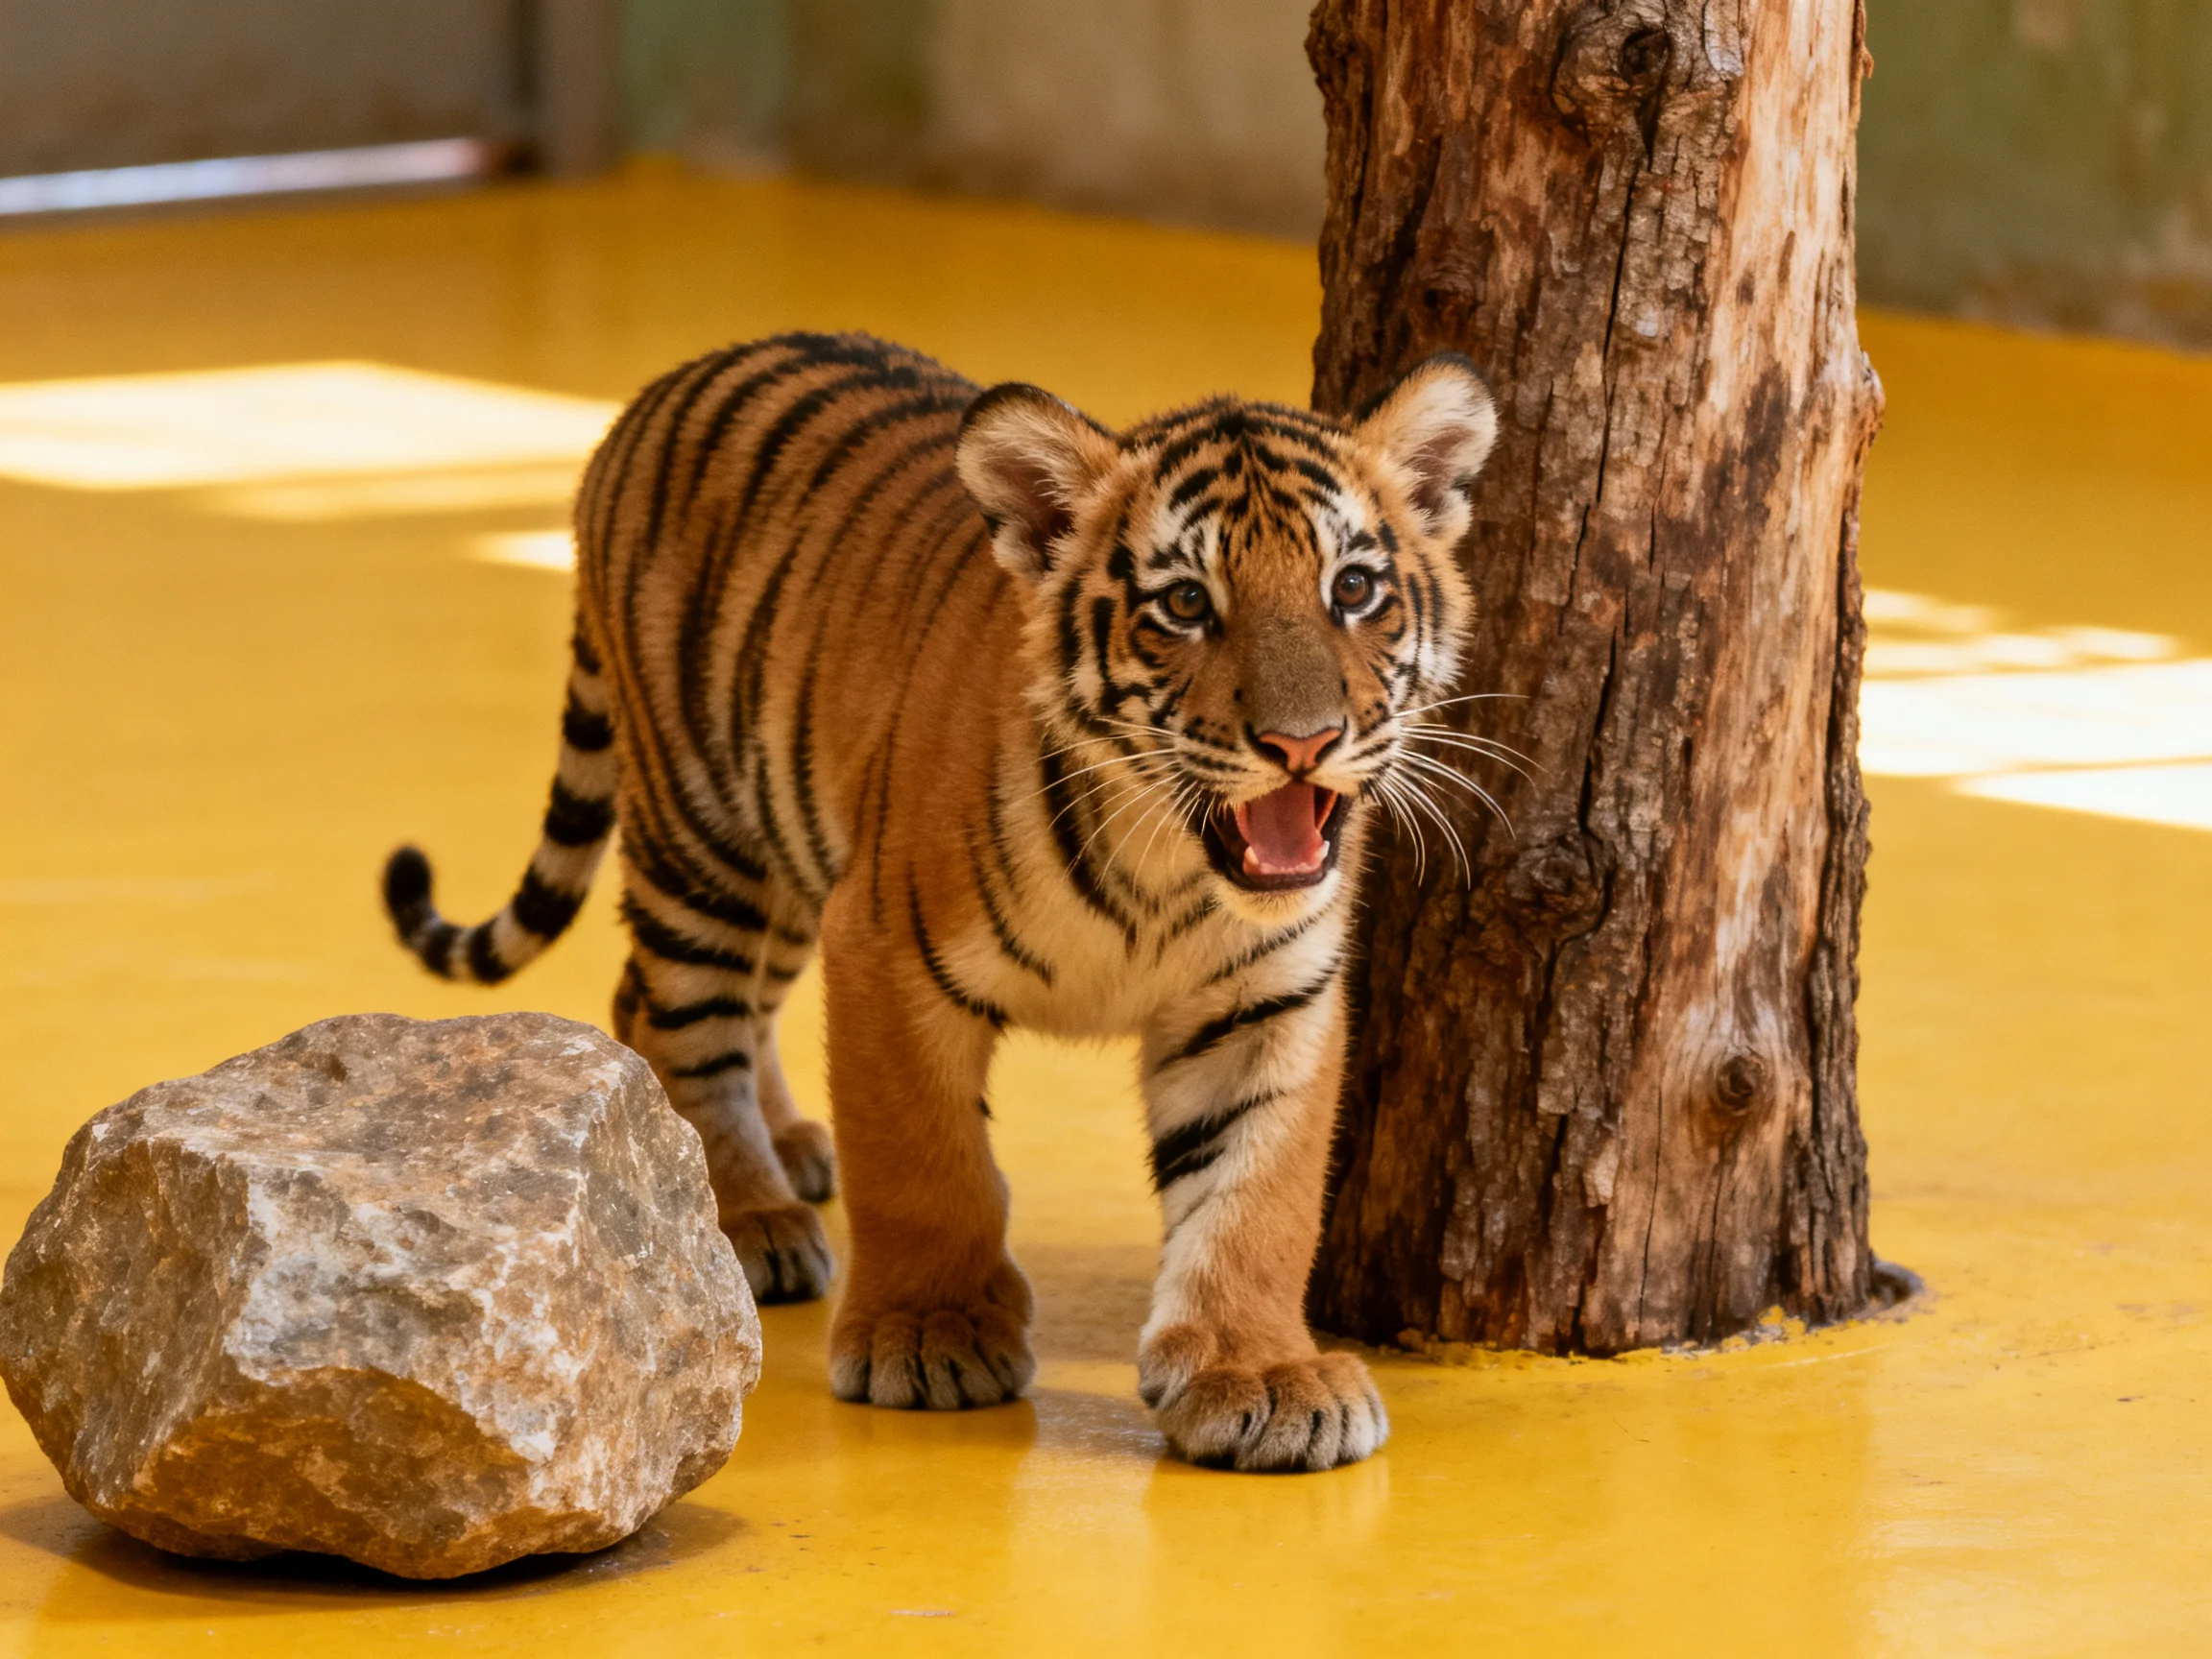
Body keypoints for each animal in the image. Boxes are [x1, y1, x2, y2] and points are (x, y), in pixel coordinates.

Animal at [382, 331, 1495, 1472]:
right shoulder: (887, 949)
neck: (1167, 868)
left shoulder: (1267, 1000)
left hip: (794, 853)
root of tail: (674, 380)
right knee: (683, 1014)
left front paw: (1260, 1375)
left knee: (677, 999)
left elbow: (1257, 1196)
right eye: (1186, 605)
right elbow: (924, 1158)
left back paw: (778, 1150)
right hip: (704, 834)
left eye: (1353, 588)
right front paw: (929, 1334)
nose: (1301, 743)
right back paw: (739, 1214)